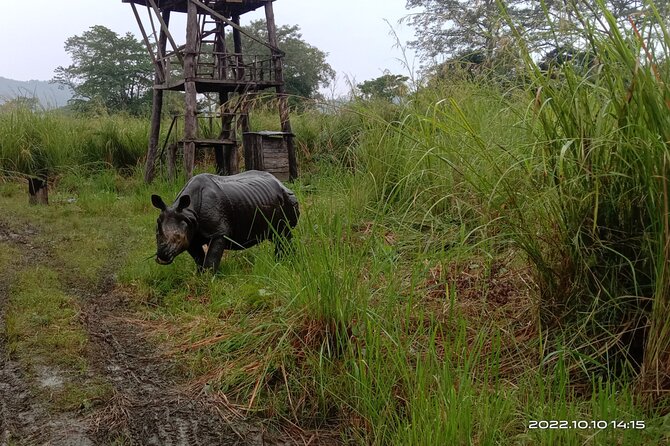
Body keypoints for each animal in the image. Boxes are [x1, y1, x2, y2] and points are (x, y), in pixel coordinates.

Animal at [151, 170, 299, 271]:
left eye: (178, 237)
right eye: (157, 233)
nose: (162, 256)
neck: (187, 212)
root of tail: (281, 183)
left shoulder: (218, 232)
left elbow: (211, 259)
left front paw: (208, 279)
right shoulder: (191, 234)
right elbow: (199, 259)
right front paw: (200, 276)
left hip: (287, 199)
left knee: (283, 235)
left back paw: (285, 262)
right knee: (276, 236)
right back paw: (281, 262)